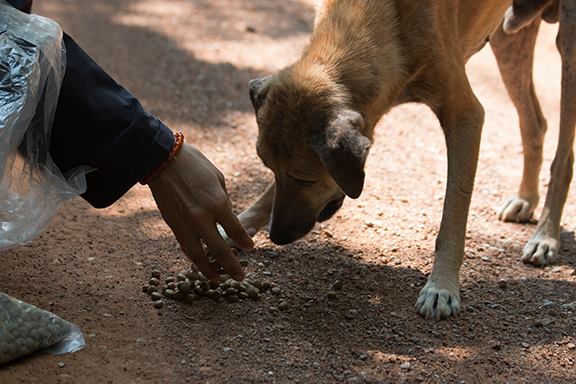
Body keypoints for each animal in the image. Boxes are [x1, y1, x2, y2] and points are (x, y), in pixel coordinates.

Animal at [227, 1, 572, 320]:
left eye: (306, 179)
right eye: (271, 169)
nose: (277, 236)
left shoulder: (465, 115)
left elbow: (453, 214)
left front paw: (441, 287)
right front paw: (238, 226)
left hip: (565, 46)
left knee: (563, 156)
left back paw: (545, 236)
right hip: (508, 40)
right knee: (535, 124)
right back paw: (526, 199)